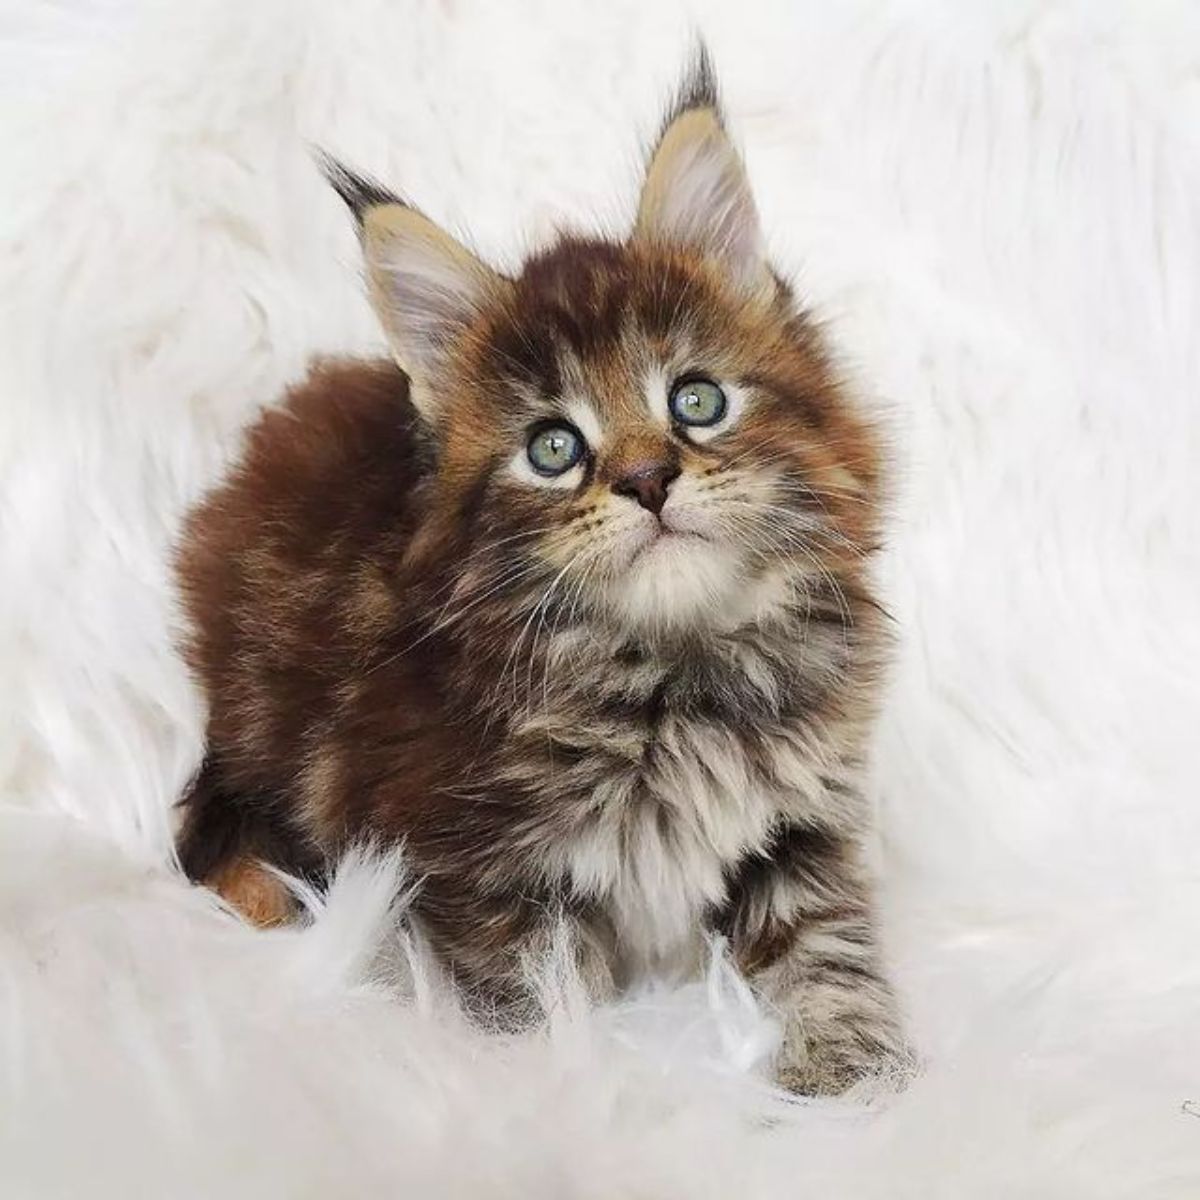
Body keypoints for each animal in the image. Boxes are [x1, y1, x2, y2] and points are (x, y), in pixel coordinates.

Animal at [177, 58, 902, 1099]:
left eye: (697, 400)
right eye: (553, 448)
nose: (647, 480)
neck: (674, 678)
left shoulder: (801, 819)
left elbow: (827, 947)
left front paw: (853, 1082)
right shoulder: (476, 870)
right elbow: (538, 1002)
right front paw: (560, 1090)